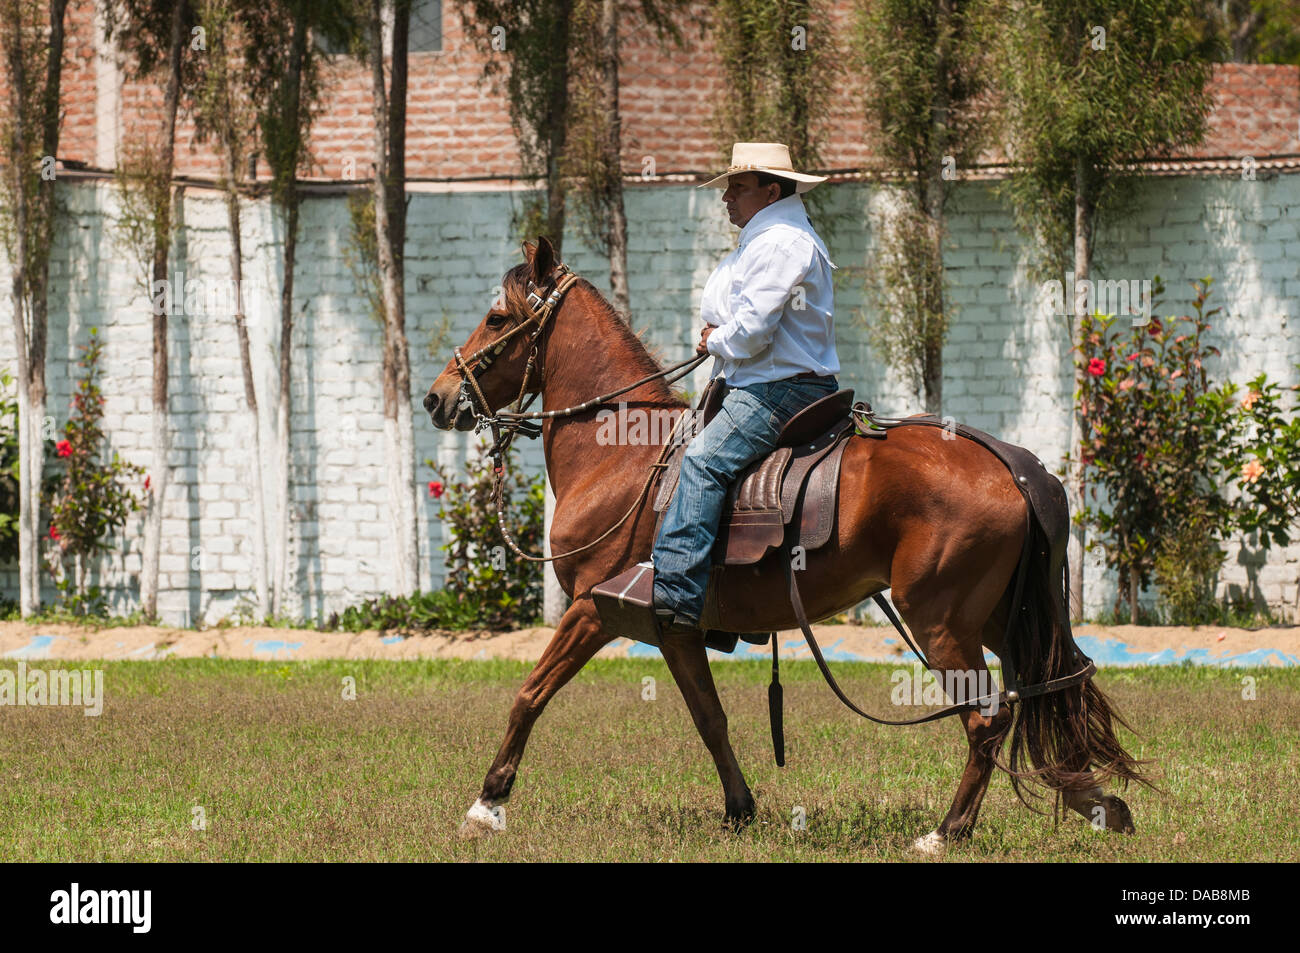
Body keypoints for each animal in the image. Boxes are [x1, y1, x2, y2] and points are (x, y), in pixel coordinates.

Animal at [423, 237, 1147, 853]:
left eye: (496, 317)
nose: (437, 398)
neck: (622, 453)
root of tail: (1014, 466)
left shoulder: (592, 610)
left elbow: (529, 694)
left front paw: (486, 806)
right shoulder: (674, 628)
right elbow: (709, 718)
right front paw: (739, 809)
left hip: (939, 619)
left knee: (988, 718)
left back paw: (947, 832)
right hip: (998, 616)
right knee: (1050, 689)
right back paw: (1095, 801)